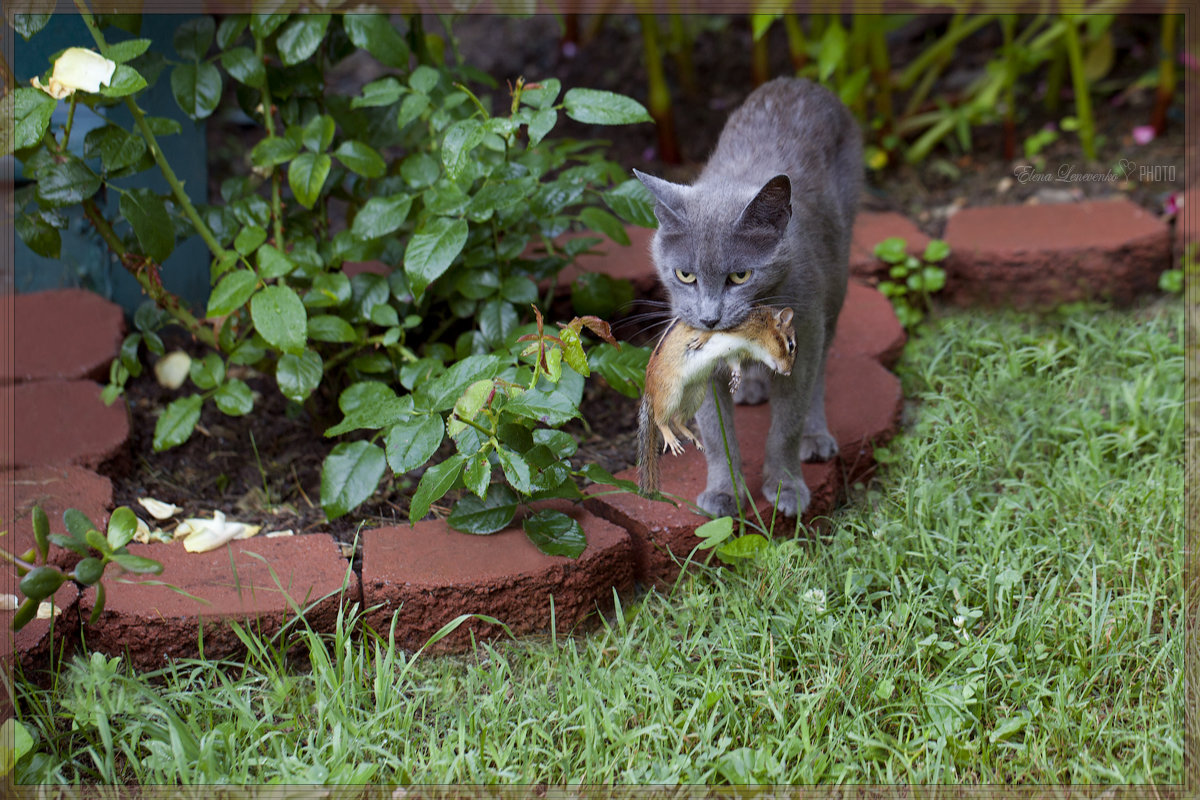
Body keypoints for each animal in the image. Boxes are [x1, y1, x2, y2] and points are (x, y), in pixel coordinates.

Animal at [633, 77, 859, 520]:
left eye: (740, 275)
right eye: (685, 274)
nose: (709, 317)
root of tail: (802, 82)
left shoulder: (805, 329)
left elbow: (786, 425)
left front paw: (785, 488)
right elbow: (716, 434)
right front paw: (724, 494)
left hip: (835, 284)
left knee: (821, 369)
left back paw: (816, 436)